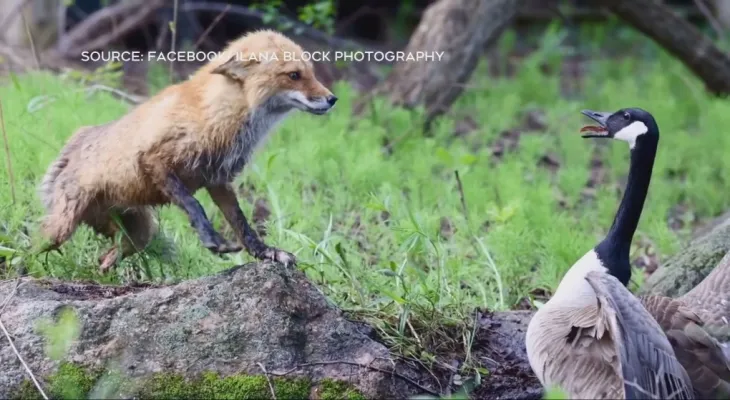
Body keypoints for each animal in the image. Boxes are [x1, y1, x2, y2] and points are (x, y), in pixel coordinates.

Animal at [38, 29, 338, 272]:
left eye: (311, 72)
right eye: (294, 75)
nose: (332, 99)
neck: (217, 116)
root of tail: (76, 139)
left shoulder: (218, 180)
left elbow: (243, 226)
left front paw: (266, 253)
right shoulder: (155, 160)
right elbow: (194, 204)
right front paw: (212, 239)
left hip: (139, 234)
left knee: (108, 256)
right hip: (61, 230)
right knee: (33, 244)